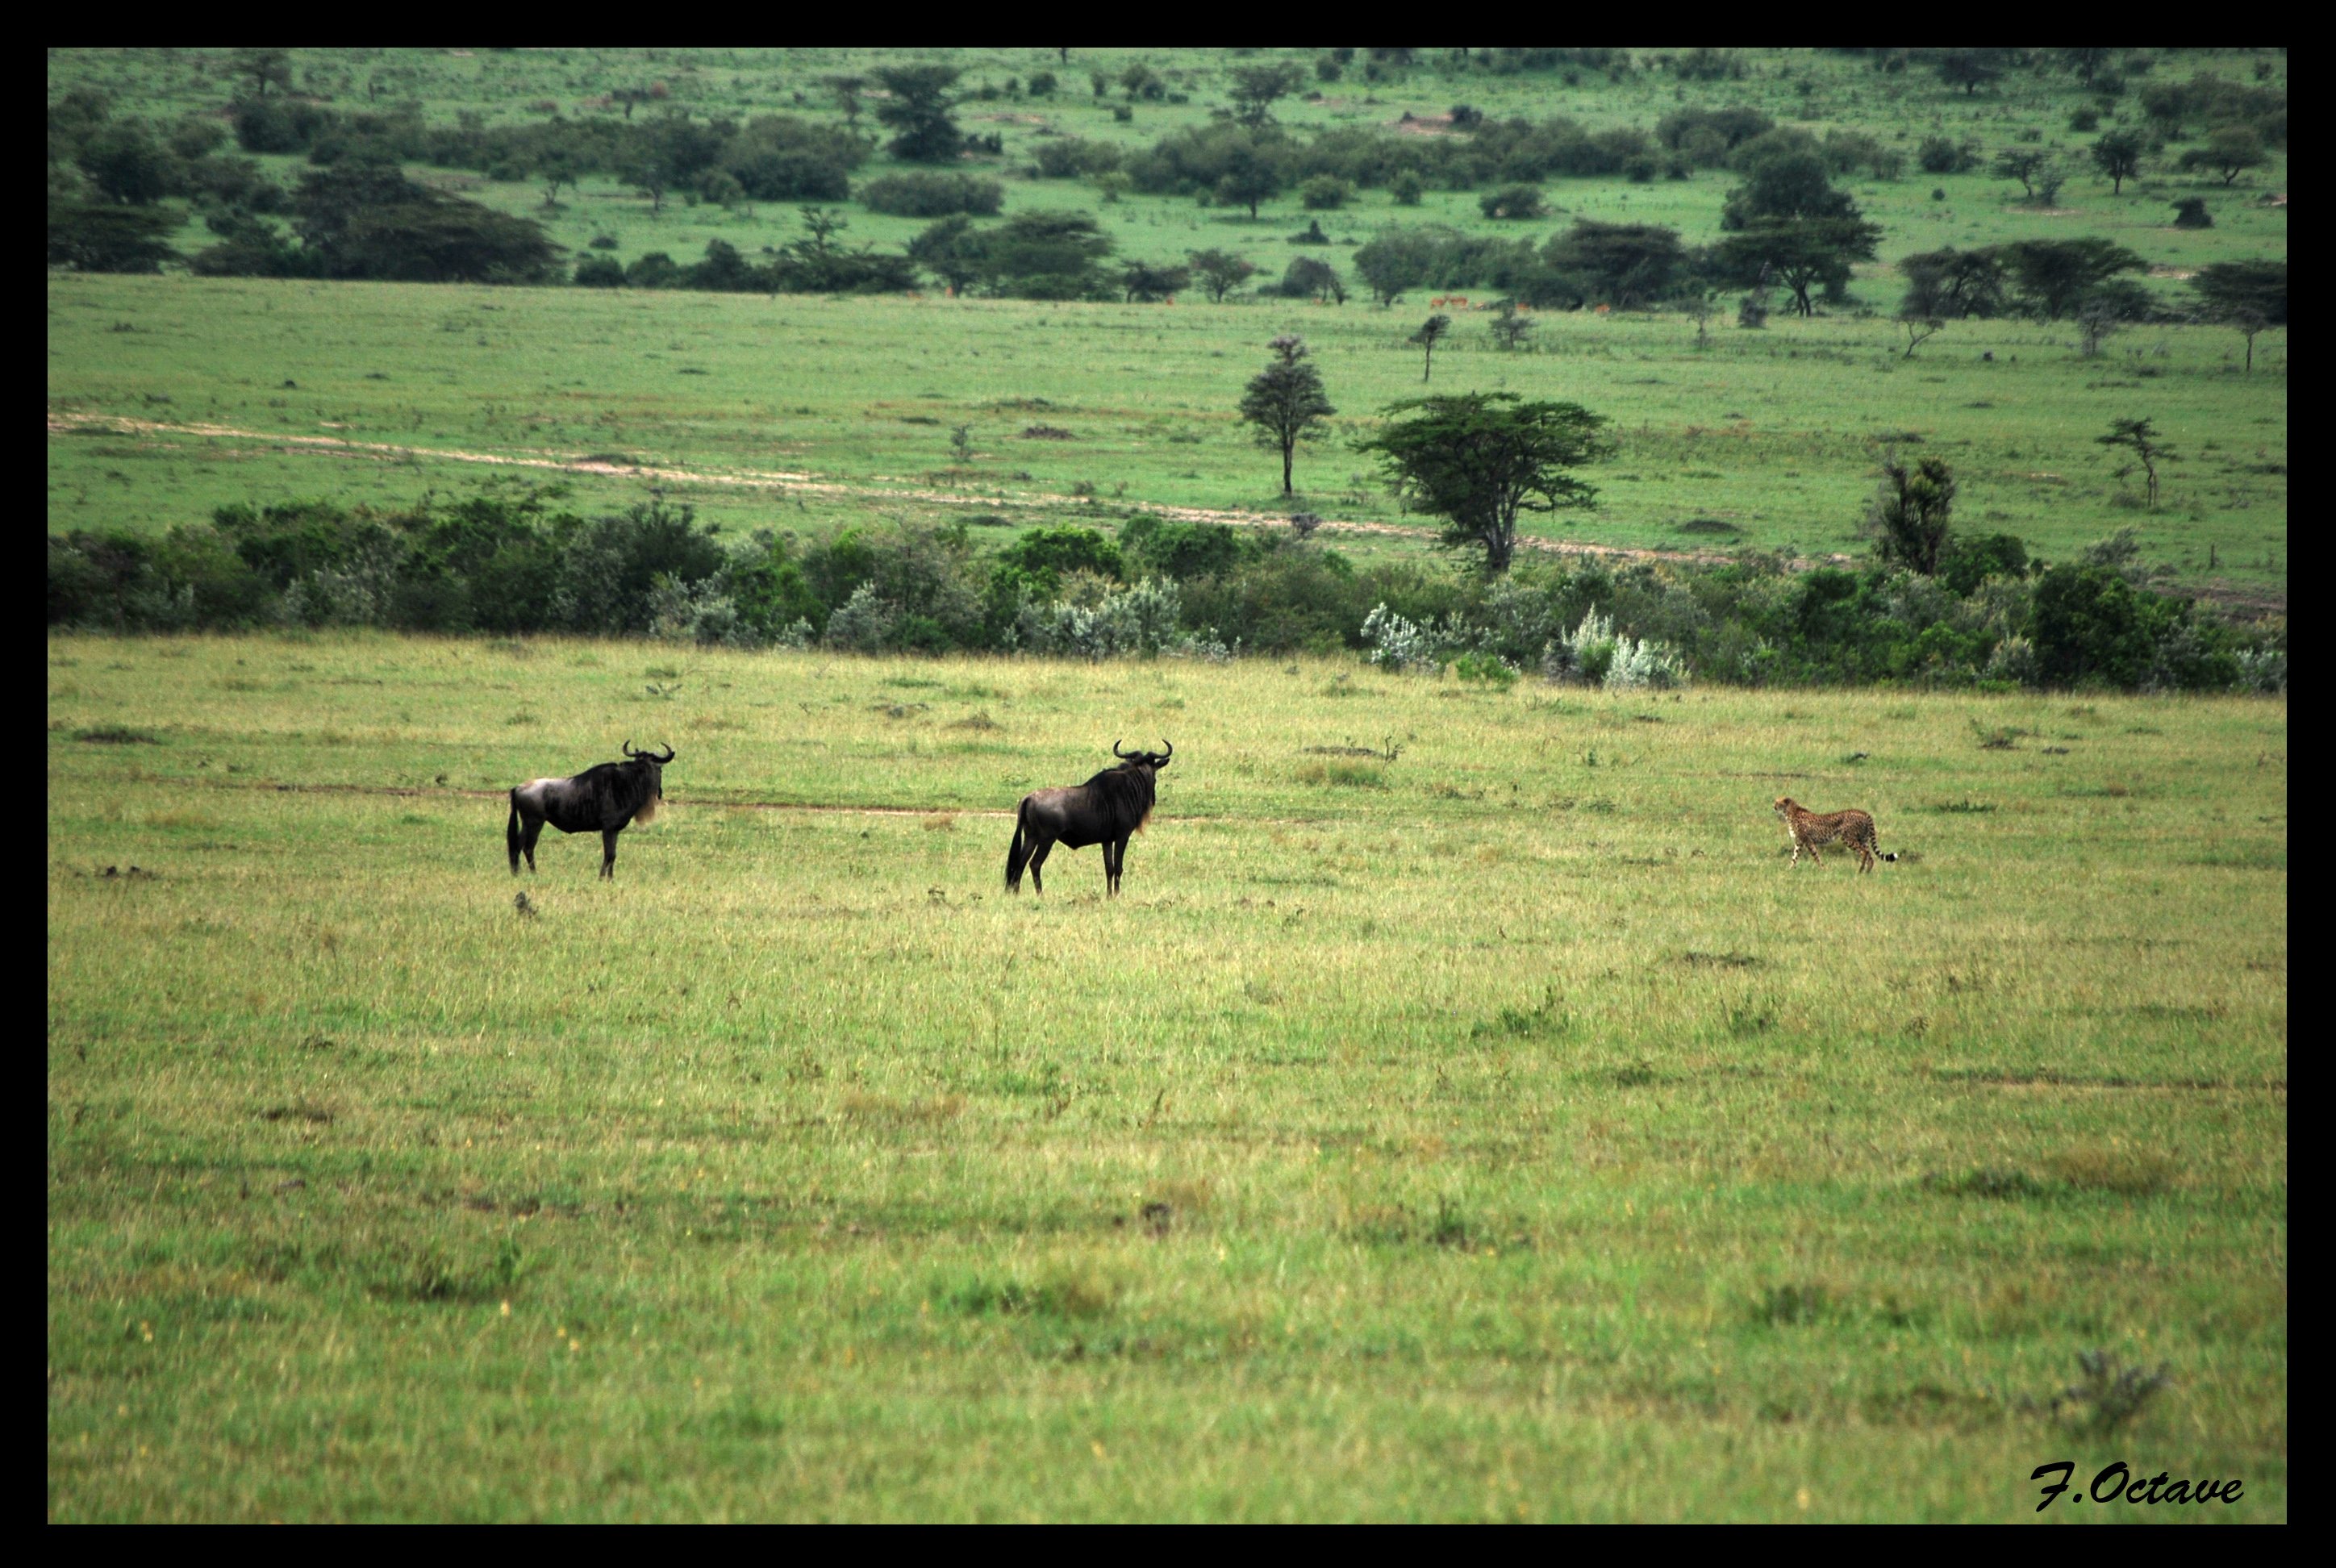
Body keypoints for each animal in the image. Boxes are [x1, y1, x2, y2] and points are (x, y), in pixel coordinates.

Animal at [1766, 799, 1896, 869]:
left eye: (1777, 802)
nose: (1773, 806)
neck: (1790, 812)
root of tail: (1863, 812)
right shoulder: (1799, 842)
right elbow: (1795, 857)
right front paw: (1789, 868)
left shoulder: (1807, 841)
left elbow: (1815, 855)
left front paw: (1822, 868)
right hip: (1863, 839)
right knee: (1869, 855)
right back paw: (1867, 871)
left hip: (1848, 838)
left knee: (1864, 852)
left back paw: (1861, 870)